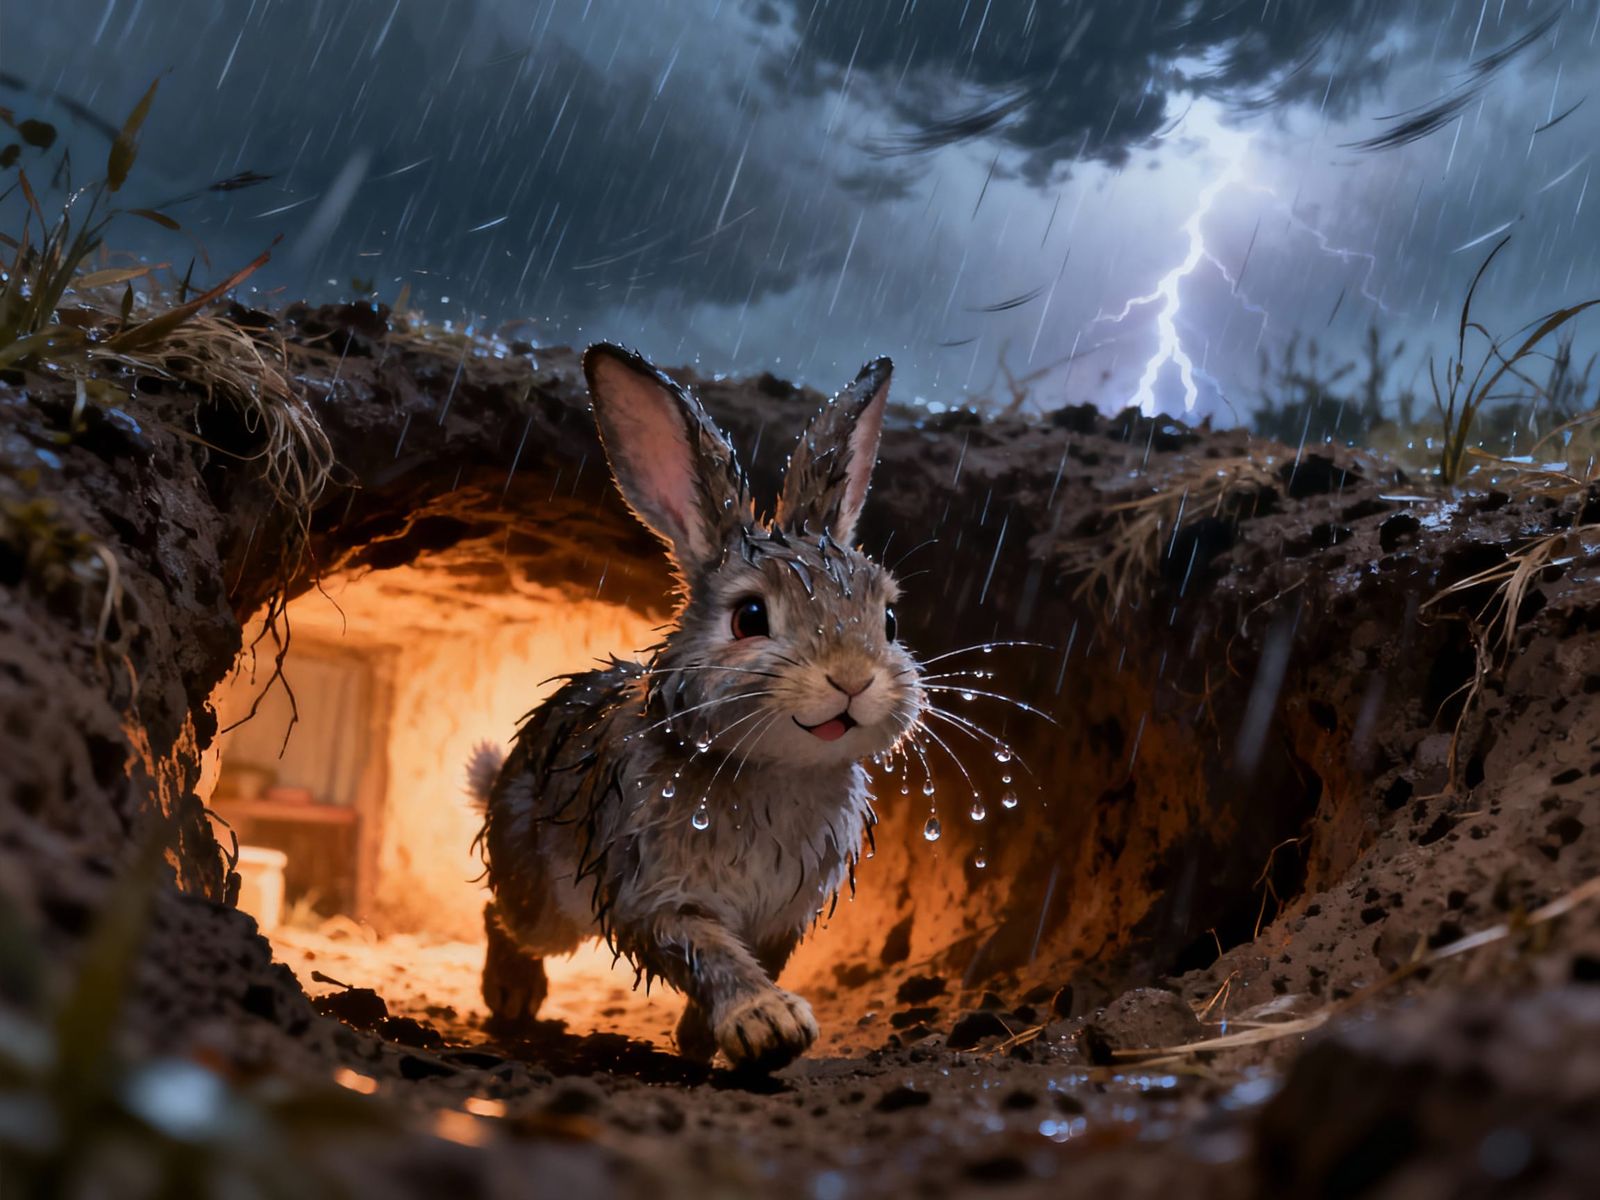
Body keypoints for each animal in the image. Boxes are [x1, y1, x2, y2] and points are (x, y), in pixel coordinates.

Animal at [469, 343, 924, 1072]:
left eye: (887, 619)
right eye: (749, 618)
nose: (852, 679)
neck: (773, 770)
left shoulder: (783, 914)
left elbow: (753, 956)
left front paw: (703, 1040)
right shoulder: (655, 893)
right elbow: (709, 952)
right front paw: (766, 1023)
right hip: (544, 899)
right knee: (503, 916)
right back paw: (511, 998)